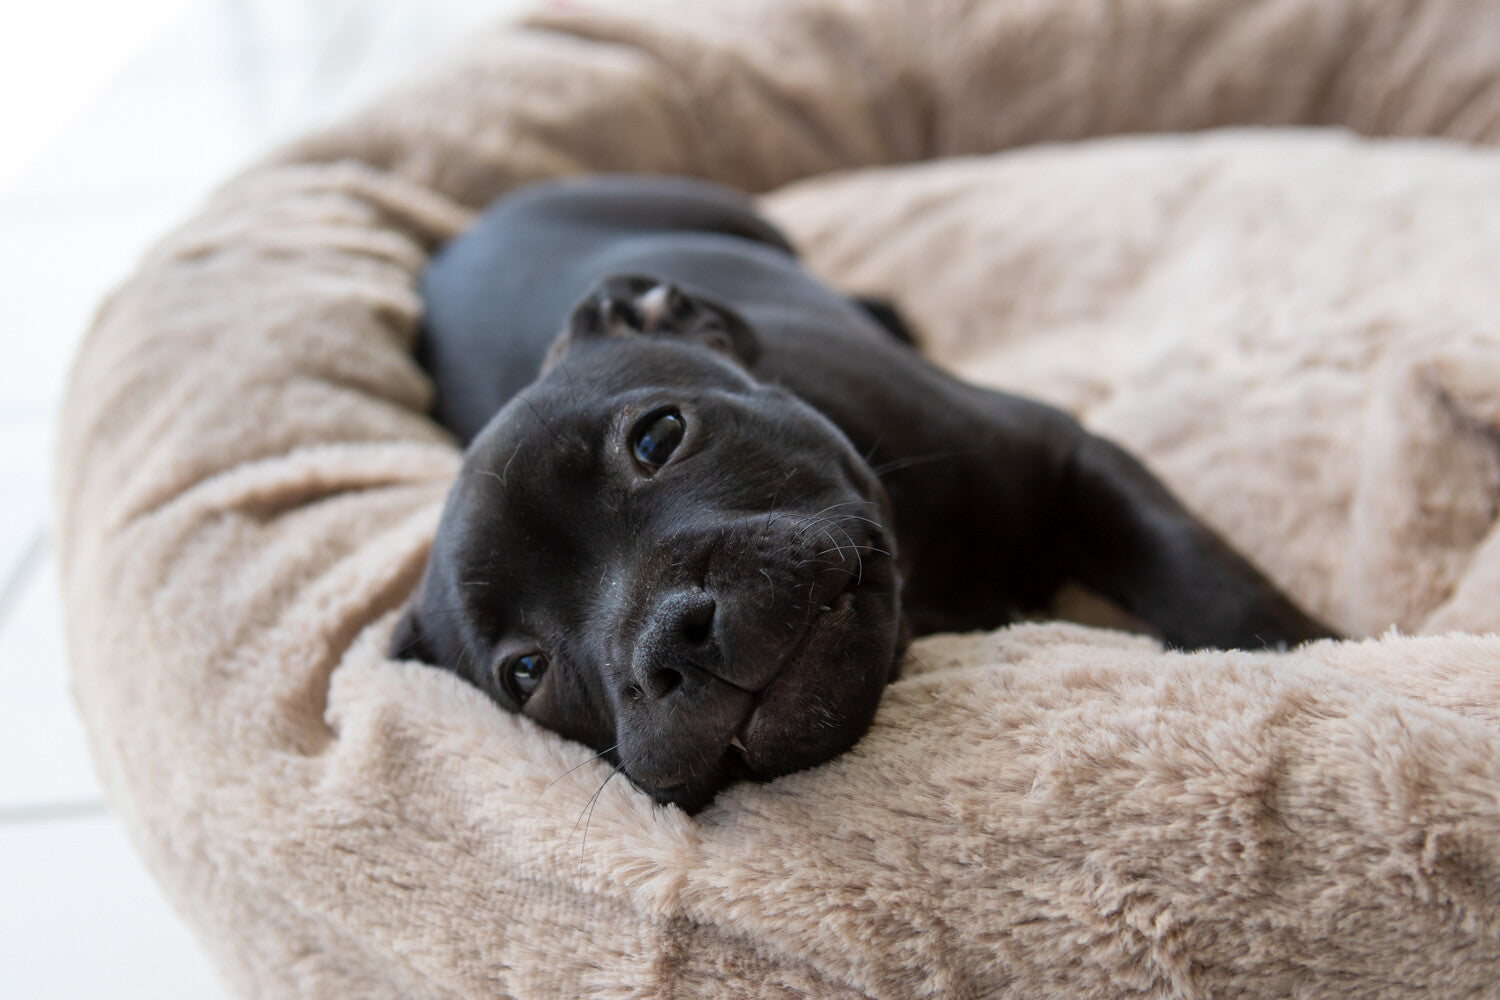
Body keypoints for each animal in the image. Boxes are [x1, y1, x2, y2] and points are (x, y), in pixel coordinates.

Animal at [396, 173, 1338, 815]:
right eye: (525, 672)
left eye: (658, 437)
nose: (672, 639)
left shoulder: (1069, 455)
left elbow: (1197, 572)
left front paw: (1307, 655)